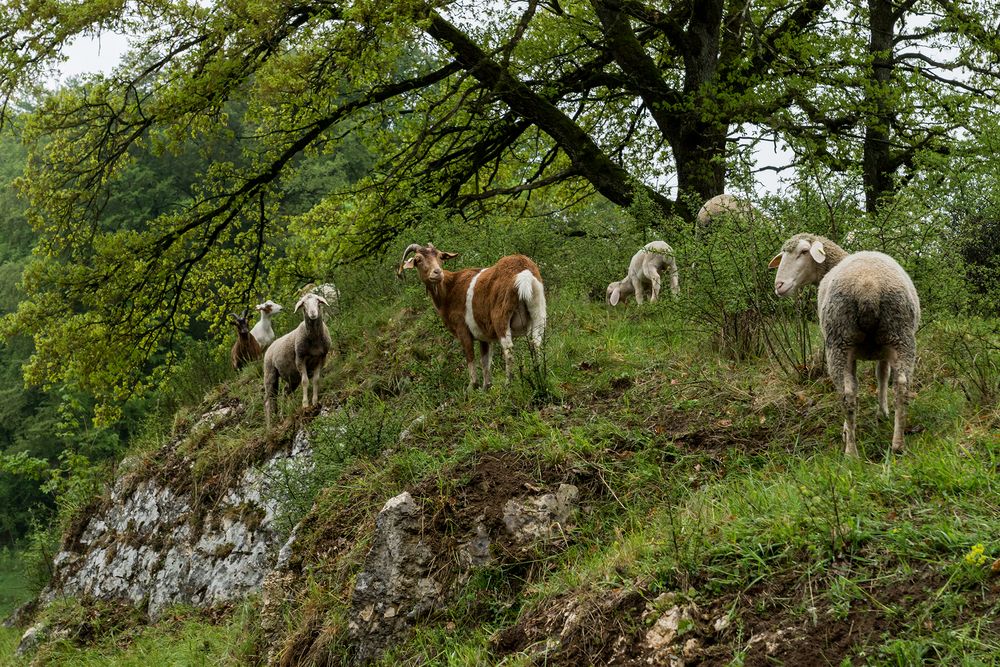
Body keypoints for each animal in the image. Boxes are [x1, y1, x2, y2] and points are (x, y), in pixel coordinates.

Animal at [262, 294, 332, 430]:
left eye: (317, 301)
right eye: (304, 304)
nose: (313, 313)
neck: (314, 339)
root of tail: (270, 345)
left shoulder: (321, 358)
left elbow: (316, 380)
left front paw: (314, 402)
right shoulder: (300, 359)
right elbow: (305, 381)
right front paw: (305, 405)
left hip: (292, 378)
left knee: (284, 393)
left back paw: (282, 416)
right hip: (270, 373)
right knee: (269, 401)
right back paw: (269, 426)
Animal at [396, 244, 548, 392]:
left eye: (440, 256)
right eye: (418, 259)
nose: (437, 272)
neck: (449, 290)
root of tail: (524, 272)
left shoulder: (462, 329)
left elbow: (470, 356)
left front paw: (472, 386)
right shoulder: (484, 336)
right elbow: (485, 360)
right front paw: (486, 386)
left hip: (501, 316)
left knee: (508, 349)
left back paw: (508, 384)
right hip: (538, 310)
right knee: (537, 343)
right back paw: (539, 374)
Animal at [772, 232, 920, 456]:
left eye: (804, 252)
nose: (779, 285)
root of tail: (869, 289)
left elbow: (877, 377)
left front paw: (868, 418)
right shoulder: (884, 350)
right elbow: (882, 376)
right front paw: (882, 412)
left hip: (839, 342)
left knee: (848, 394)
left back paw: (851, 451)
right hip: (900, 336)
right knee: (901, 386)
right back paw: (898, 444)